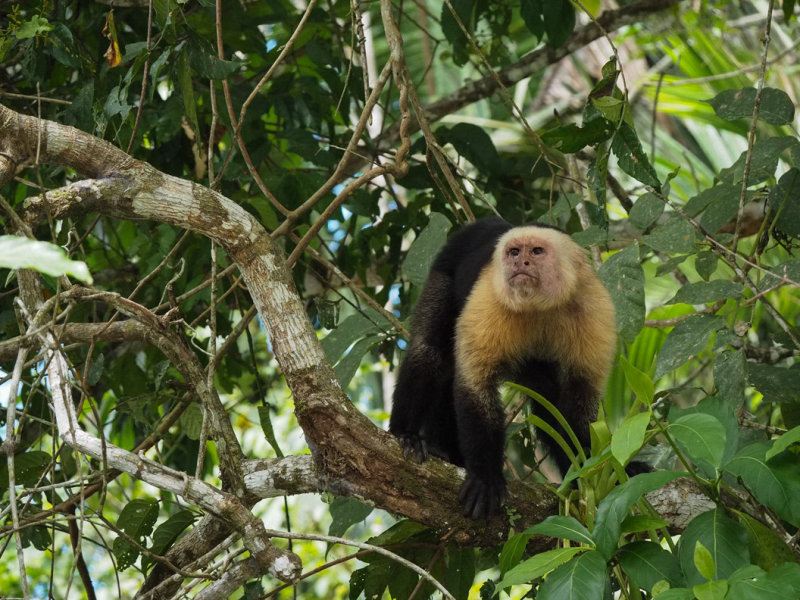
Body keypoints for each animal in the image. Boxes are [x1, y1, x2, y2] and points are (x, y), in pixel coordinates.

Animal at [390, 217, 616, 520]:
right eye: (514, 252)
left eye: (536, 251)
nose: (521, 262)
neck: (540, 306)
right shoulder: (489, 298)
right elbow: (476, 384)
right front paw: (485, 477)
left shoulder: (594, 309)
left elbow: (579, 403)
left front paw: (594, 471)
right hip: (444, 269)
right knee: (431, 352)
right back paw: (411, 437)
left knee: (546, 394)